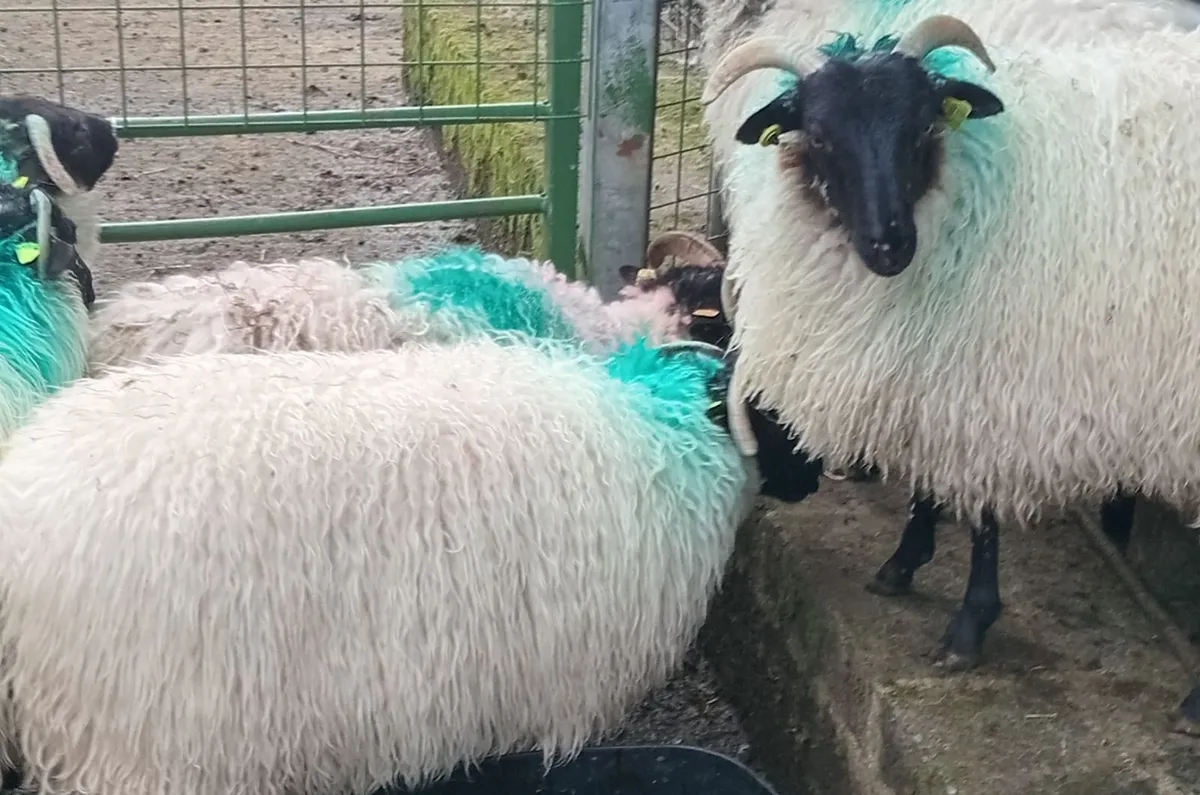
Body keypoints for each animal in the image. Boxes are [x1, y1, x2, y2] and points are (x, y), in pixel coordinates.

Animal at [699, 10, 1200, 731]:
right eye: (818, 134)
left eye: (922, 124)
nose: (890, 244)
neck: (968, 185)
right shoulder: (934, 363)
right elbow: (928, 481)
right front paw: (905, 559)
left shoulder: (983, 374)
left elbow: (982, 511)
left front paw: (968, 623)